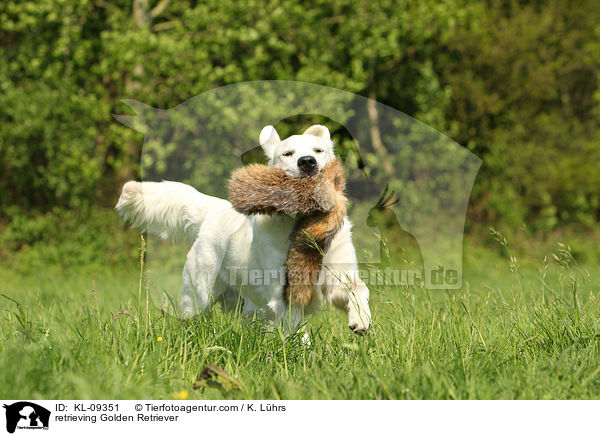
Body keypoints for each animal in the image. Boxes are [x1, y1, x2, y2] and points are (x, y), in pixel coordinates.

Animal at [115, 124, 372, 336]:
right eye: (287, 154)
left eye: (318, 150)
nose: (307, 162)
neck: (304, 223)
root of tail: (214, 209)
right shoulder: (282, 296)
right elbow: (297, 332)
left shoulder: (339, 276)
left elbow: (358, 288)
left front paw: (361, 319)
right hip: (198, 296)